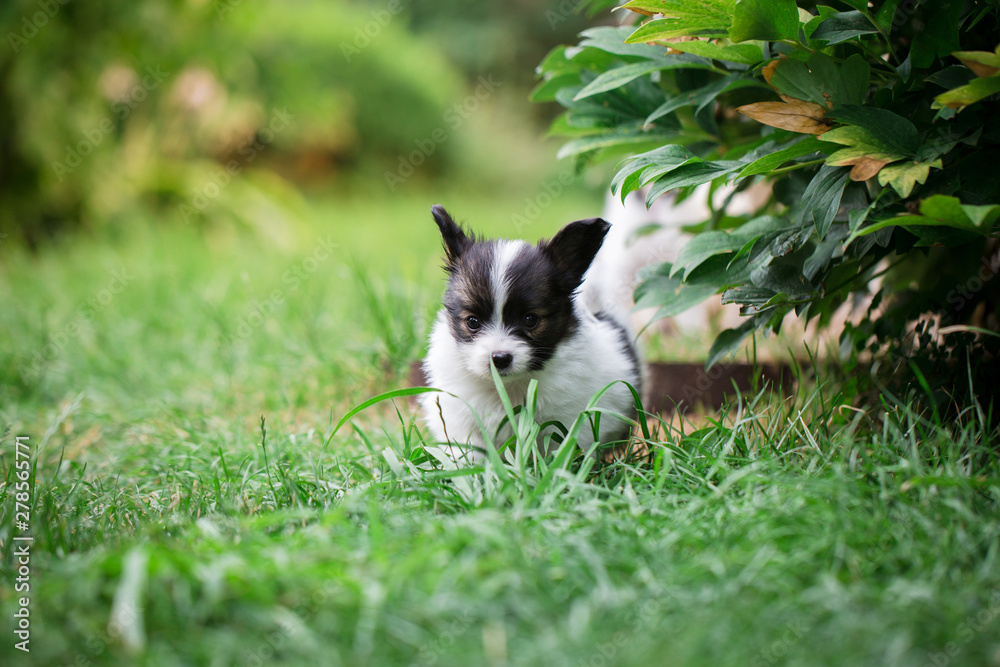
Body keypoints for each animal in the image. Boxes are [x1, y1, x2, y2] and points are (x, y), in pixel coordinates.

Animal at [420, 206, 640, 460]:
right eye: (472, 322)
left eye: (530, 320)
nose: (499, 358)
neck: (509, 386)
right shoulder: (461, 418)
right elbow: (469, 453)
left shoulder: (567, 422)